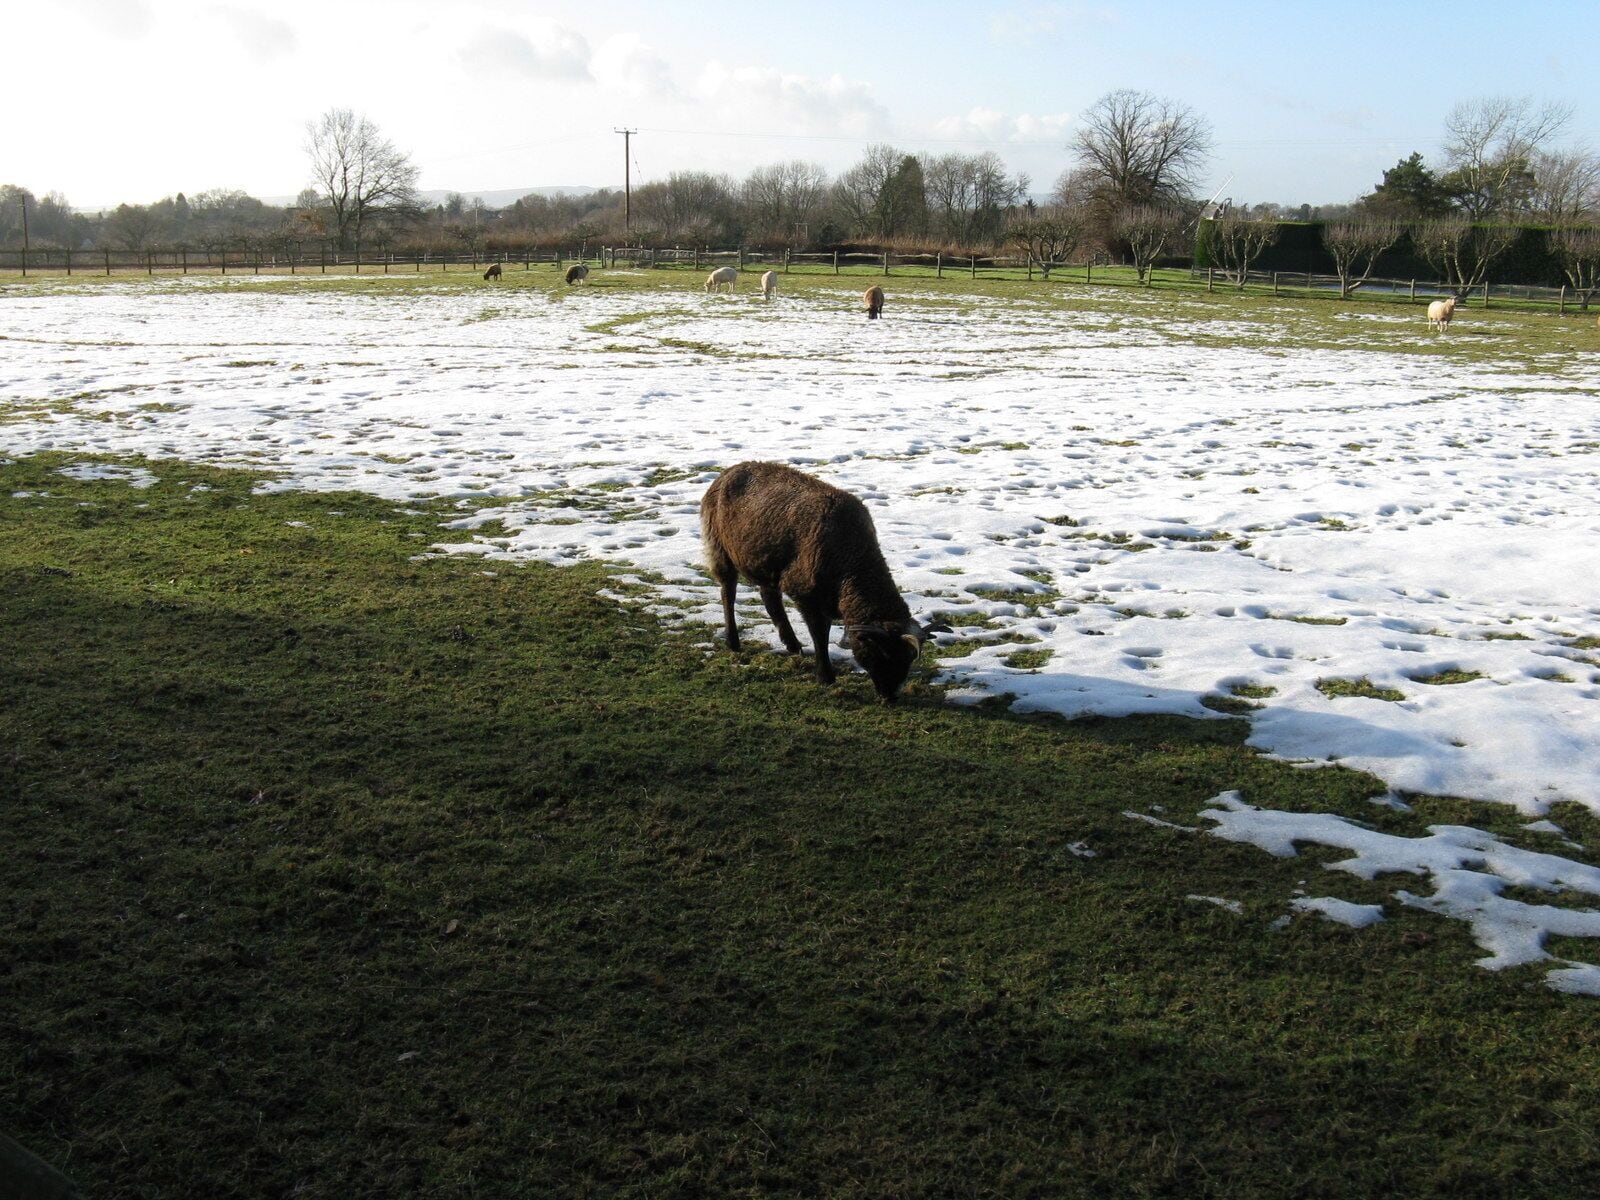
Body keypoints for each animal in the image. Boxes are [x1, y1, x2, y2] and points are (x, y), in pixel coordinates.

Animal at [700, 461, 946, 703]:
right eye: (883, 652)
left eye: (908, 659)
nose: (890, 696)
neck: (851, 561)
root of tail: (726, 472)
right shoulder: (805, 593)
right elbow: (820, 633)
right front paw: (826, 676)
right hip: (720, 548)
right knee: (728, 593)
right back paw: (733, 641)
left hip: (766, 562)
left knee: (769, 598)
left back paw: (792, 644)